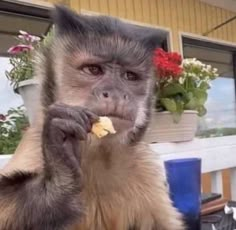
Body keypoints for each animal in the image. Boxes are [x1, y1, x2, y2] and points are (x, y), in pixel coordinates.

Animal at [0, 4, 184, 230]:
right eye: (94, 69)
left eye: (129, 76)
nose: (115, 93)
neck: (97, 151)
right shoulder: (34, 141)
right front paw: (60, 163)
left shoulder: (145, 165)